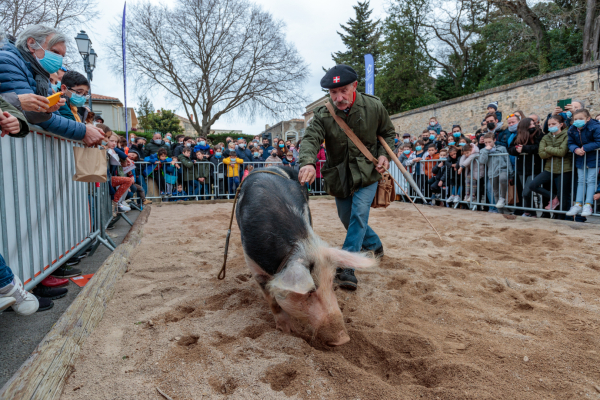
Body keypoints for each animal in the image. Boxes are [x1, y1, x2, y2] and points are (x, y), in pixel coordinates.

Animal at [234, 166, 376, 346]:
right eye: (310, 291)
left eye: (331, 282)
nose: (343, 339)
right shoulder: (254, 264)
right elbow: (272, 301)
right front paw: (287, 331)